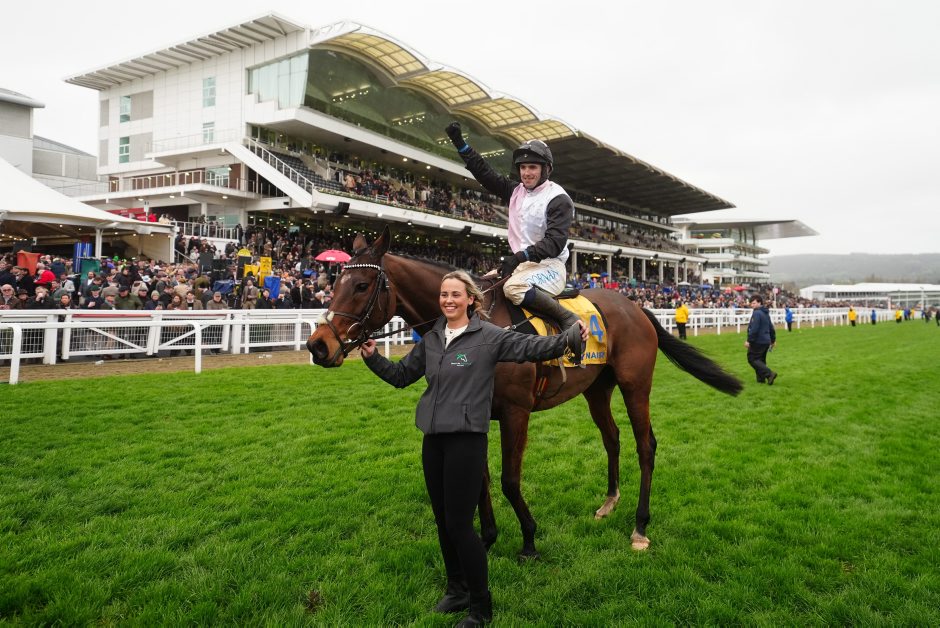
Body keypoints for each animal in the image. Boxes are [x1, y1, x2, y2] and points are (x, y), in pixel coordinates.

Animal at [307, 226, 742, 556]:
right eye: (334, 281)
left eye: (362, 285)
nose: (318, 345)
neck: (479, 318)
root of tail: (636, 307)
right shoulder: (476, 413)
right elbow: (480, 478)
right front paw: (486, 539)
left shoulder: (515, 412)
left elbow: (508, 480)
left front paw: (529, 538)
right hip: (596, 389)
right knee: (612, 438)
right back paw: (608, 502)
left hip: (636, 385)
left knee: (645, 444)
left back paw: (639, 526)